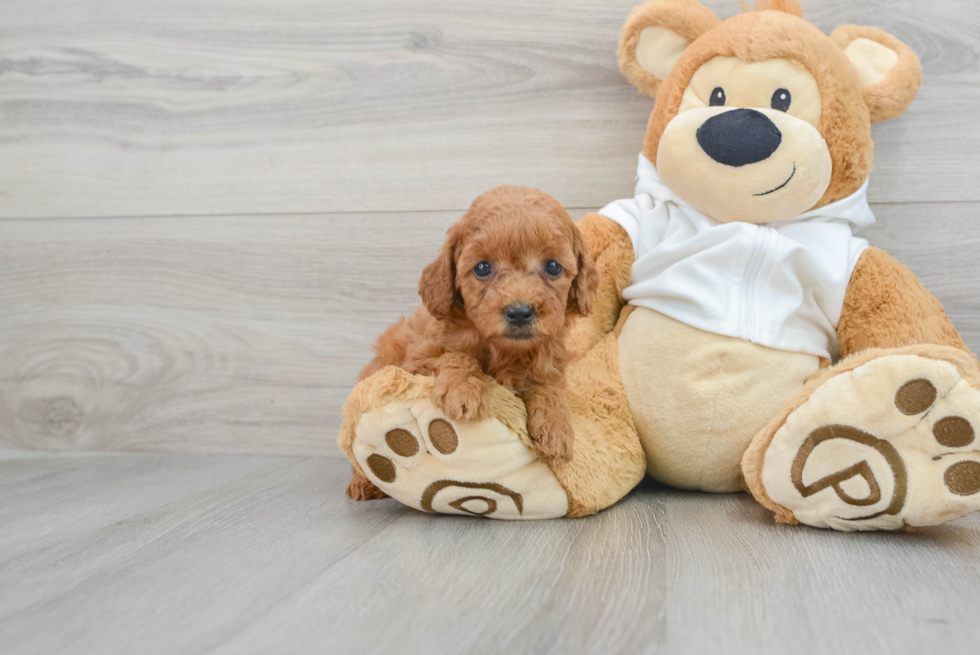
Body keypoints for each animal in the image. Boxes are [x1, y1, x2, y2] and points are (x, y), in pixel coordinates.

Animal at [348, 187, 600, 500]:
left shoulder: (550, 363)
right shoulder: (417, 361)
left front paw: (556, 429)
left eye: (553, 266)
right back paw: (363, 483)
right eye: (482, 268)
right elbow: (457, 356)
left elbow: (549, 387)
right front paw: (463, 390)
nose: (519, 311)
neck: (504, 350)